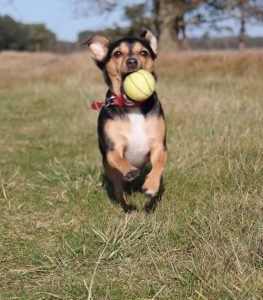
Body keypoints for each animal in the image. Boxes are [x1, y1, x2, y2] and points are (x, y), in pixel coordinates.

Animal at [86, 29, 169, 209]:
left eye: (143, 53)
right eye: (117, 53)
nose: (132, 61)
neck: (133, 108)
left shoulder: (159, 145)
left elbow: (159, 165)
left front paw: (151, 186)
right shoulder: (113, 147)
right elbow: (118, 158)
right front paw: (129, 170)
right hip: (110, 170)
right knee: (118, 189)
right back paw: (127, 206)